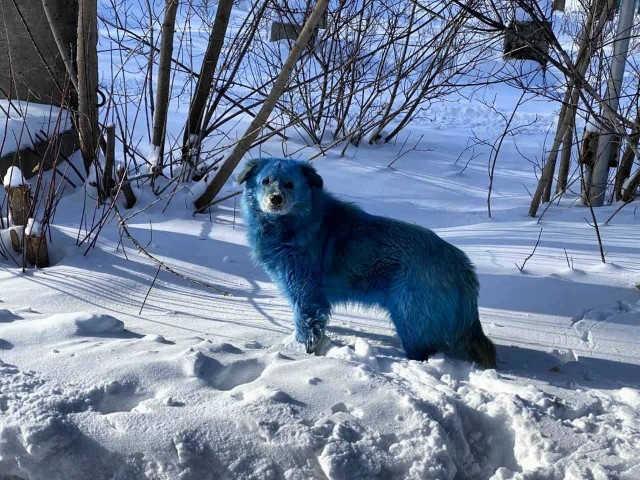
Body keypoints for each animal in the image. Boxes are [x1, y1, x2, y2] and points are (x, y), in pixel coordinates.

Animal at [239, 158, 496, 368]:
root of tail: (461, 264)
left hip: (410, 319)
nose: (275, 199)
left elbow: (307, 327)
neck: (296, 223)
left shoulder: (306, 295)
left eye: (290, 184)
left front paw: (300, 354)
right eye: (265, 181)